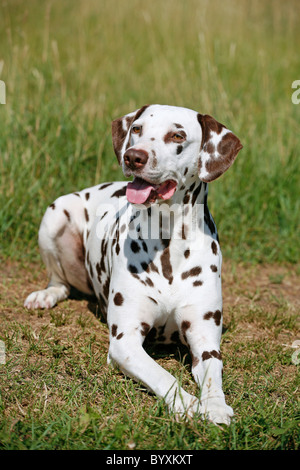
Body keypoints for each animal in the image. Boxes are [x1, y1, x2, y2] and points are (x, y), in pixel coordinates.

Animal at [24, 103, 243, 426]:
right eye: (137, 128)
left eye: (178, 135)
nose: (133, 156)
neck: (169, 246)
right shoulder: (124, 342)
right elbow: (163, 375)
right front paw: (188, 404)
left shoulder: (206, 341)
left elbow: (213, 375)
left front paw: (215, 406)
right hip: (55, 214)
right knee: (59, 282)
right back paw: (45, 295)